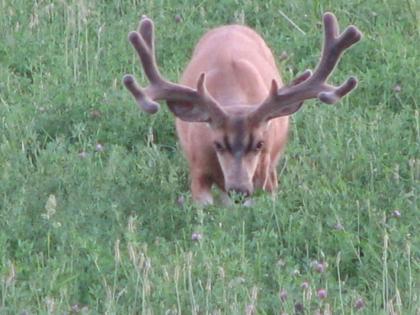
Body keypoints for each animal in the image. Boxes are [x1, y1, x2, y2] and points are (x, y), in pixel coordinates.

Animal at [123, 11, 362, 205]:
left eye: (259, 144)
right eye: (217, 144)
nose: (239, 190)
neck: (234, 97)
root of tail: (231, 26)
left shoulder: (265, 171)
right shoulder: (198, 169)